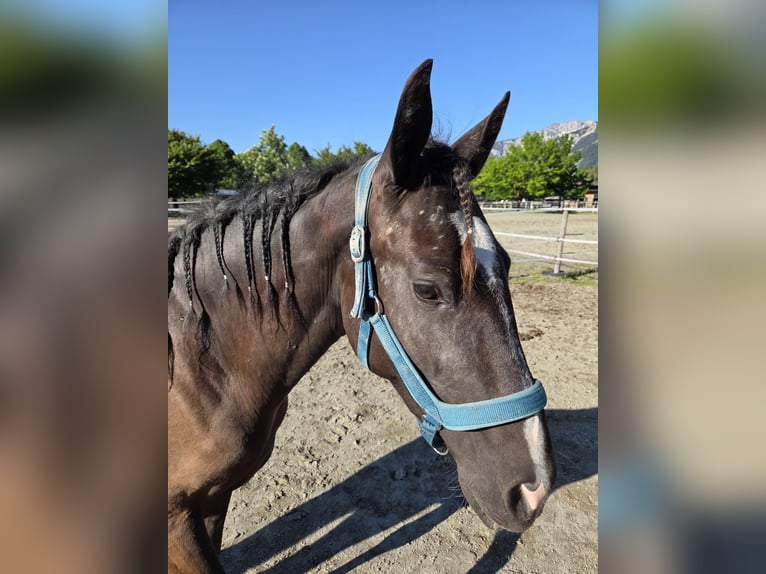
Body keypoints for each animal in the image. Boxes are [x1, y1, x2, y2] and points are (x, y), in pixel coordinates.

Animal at [168, 59, 556, 573]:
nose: (534, 489)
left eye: (508, 266)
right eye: (427, 289)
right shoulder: (178, 518)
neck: (200, 363)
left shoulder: (214, 499)